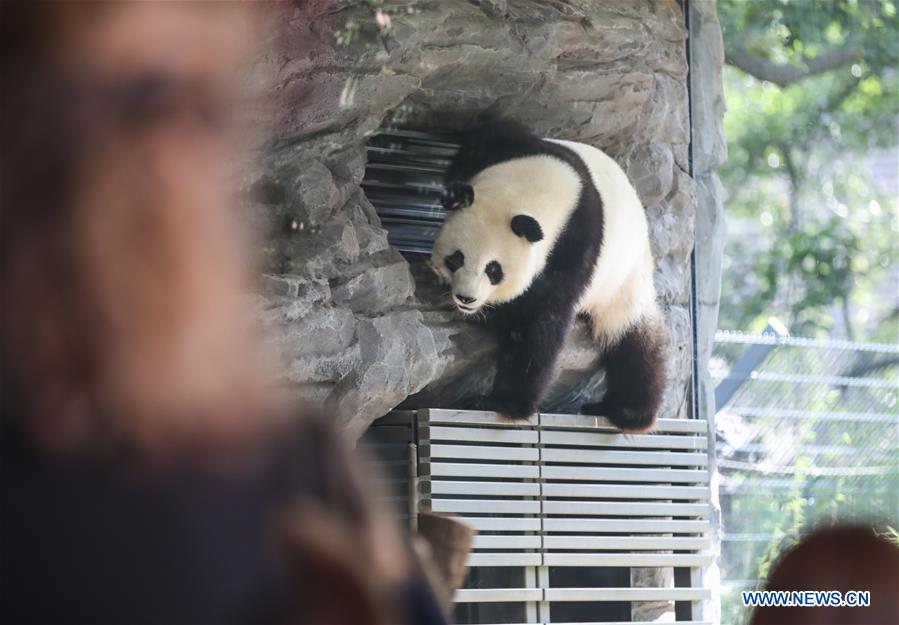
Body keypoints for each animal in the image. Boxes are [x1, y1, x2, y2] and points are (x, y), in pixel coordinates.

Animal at [428, 118, 668, 428]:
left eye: (493, 269)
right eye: (456, 258)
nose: (466, 299)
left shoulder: (575, 249)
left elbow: (540, 324)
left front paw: (503, 403)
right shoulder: (502, 148)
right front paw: (453, 194)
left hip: (622, 278)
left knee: (632, 339)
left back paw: (627, 411)